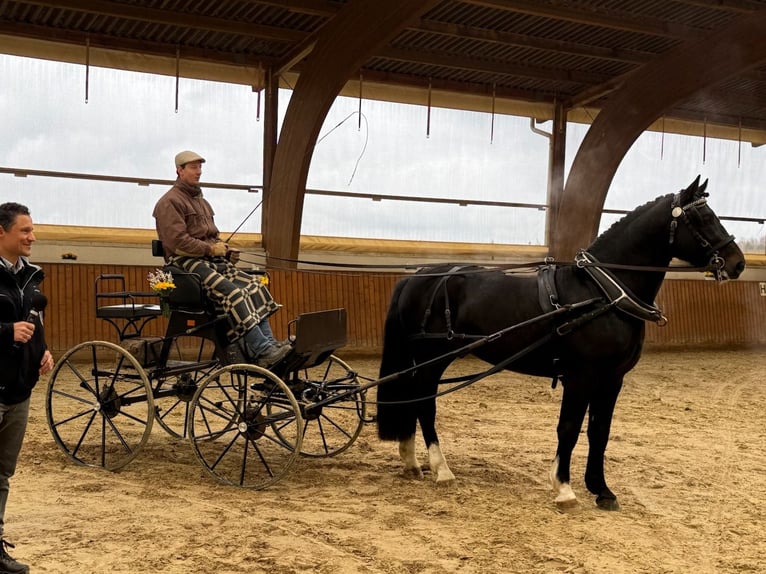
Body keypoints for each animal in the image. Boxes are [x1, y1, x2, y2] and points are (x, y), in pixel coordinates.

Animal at [376, 176, 745, 511]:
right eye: (703, 218)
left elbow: (600, 432)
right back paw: (442, 469)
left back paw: (412, 461)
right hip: (434, 358)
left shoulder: (612, 379)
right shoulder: (581, 377)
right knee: (425, 404)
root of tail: (418, 276)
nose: (737, 263)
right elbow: (568, 428)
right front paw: (564, 489)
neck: (601, 293)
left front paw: (601, 490)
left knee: (413, 399)